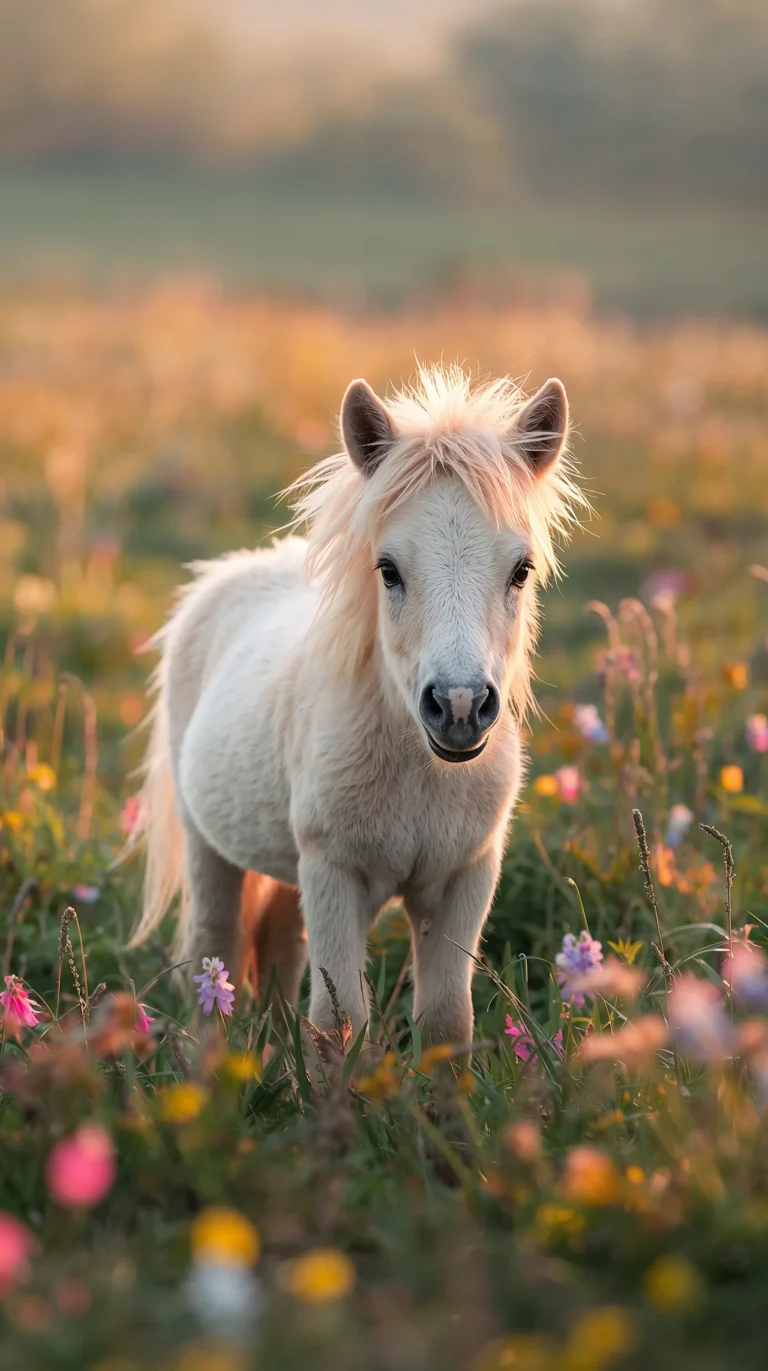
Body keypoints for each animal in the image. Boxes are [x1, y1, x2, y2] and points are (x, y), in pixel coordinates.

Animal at [128, 364, 586, 1046]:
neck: (418, 771)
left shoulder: (463, 881)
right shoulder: (335, 877)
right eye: (388, 569)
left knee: (280, 949)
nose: (458, 706)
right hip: (209, 848)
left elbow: (445, 1020)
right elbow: (337, 1024)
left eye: (521, 569)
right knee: (217, 948)